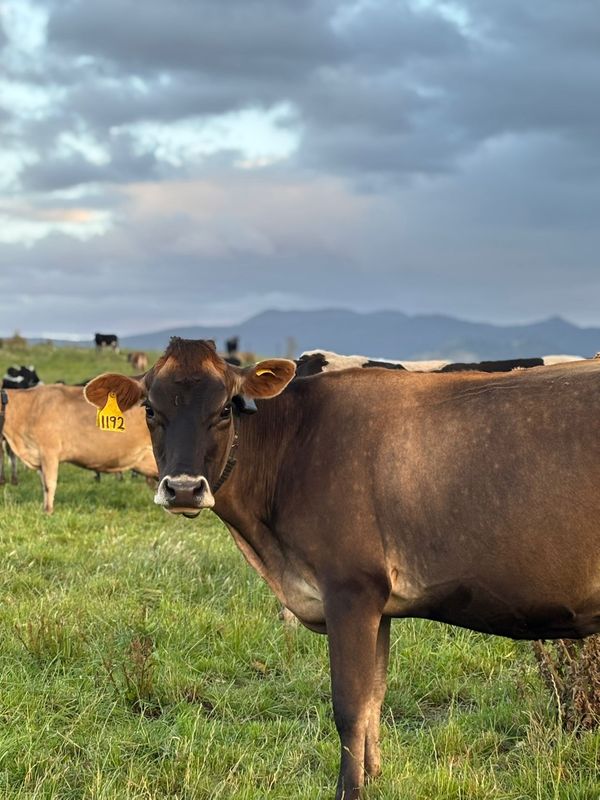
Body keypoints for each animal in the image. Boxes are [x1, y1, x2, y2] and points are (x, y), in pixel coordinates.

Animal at [85, 338, 600, 799]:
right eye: (151, 410)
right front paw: (373, 779)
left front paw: (349, 791)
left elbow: (350, 705)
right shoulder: (379, 605)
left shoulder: (351, 591)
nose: (184, 489)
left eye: (226, 409)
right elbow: (374, 697)